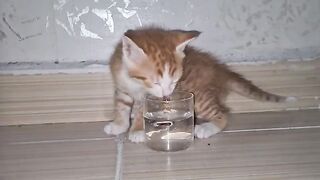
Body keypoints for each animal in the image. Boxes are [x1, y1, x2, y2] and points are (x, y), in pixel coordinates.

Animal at [105, 26, 296, 142]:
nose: (166, 95)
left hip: (200, 97)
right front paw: (119, 125)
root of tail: (220, 70)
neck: (135, 83)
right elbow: (121, 106)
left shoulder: (147, 96)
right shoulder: (121, 86)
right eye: (156, 82)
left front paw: (137, 130)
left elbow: (139, 110)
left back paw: (208, 128)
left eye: (175, 81)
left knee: (223, 113)